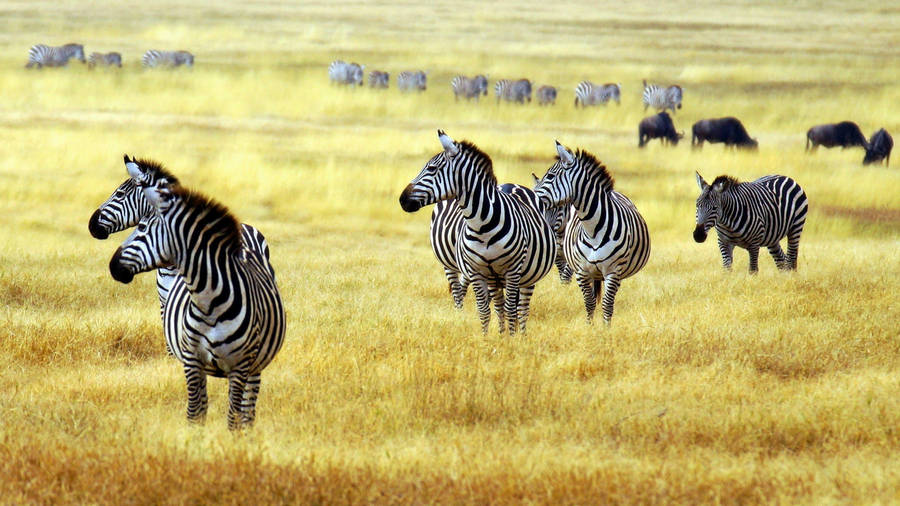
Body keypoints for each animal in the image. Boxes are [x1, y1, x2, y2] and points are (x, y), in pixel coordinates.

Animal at [109, 177, 285, 430]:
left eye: (142, 228)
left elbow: (232, 417)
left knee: (247, 409)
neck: (209, 303)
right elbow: (195, 412)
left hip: (255, 365)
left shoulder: (239, 366)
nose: (112, 266)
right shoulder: (190, 357)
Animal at [400, 130, 556, 334]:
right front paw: (487, 338)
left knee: (521, 309)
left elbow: (511, 309)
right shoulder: (477, 271)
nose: (402, 199)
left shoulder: (513, 271)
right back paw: (501, 333)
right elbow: (484, 310)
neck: (482, 226)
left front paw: (511, 340)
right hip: (475, 273)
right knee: (491, 302)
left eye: (432, 168)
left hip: (527, 275)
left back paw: (520, 335)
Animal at [534, 142, 651, 325]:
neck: (593, 230)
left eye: (551, 176)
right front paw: (590, 327)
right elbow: (589, 303)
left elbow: (607, 305)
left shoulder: (613, 272)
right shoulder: (581, 271)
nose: (531, 194)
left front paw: (605, 329)